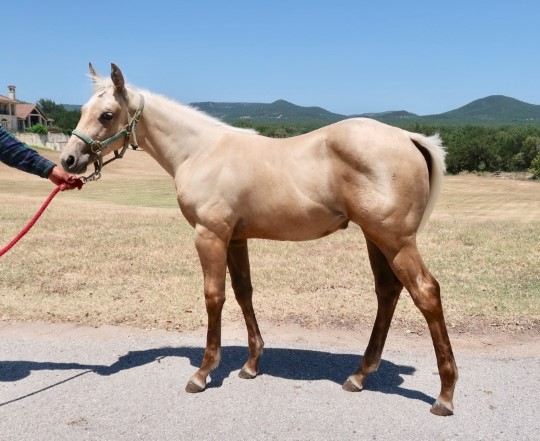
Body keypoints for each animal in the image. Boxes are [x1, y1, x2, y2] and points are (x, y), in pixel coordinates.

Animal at [61, 63, 458, 414]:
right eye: (82, 110)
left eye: (107, 115)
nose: (68, 160)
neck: (200, 151)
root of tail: (408, 137)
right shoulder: (236, 239)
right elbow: (243, 292)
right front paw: (251, 365)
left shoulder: (210, 236)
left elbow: (214, 296)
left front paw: (203, 372)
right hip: (376, 238)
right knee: (388, 291)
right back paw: (359, 376)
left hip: (395, 241)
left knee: (426, 293)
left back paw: (445, 394)